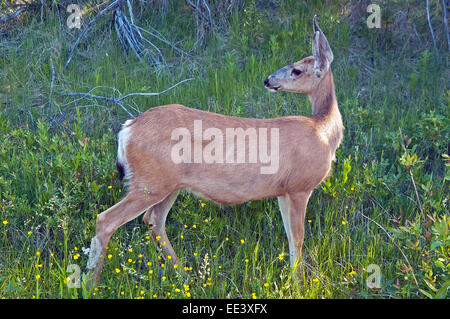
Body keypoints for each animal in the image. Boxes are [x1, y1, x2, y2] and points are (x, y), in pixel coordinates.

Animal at [86, 15, 342, 284]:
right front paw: (298, 284)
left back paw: (185, 276)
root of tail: (128, 129)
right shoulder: (299, 187)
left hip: (168, 184)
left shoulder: (283, 191)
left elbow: (291, 238)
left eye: (297, 69)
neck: (323, 131)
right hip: (150, 183)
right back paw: (90, 284)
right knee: (106, 220)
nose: (268, 80)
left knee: (153, 220)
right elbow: (298, 240)